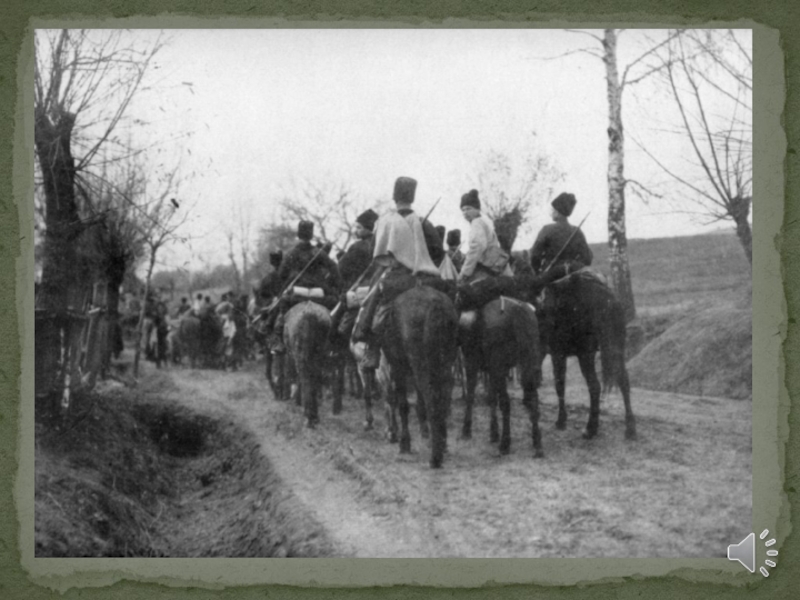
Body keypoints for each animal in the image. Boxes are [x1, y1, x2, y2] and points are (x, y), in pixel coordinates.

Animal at [378, 284, 458, 468]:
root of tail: (435, 304)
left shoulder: (398, 367)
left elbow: (403, 405)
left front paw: (404, 444)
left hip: (420, 363)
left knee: (431, 398)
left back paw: (435, 458)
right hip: (444, 363)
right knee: (444, 397)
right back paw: (442, 444)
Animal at [459, 296, 543, 457]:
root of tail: (520, 309)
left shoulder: (472, 362)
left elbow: (471, 395)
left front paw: (467, 429)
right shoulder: (492, 370)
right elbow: (492, 397)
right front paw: (494, 432)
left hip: (498, 365)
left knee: (506, 402)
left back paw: (505, 443)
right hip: (529, 360)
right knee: (533, 398)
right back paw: (537, 444)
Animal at [538, 270, 636, 440]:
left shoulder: (557, 354)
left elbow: (559, 385)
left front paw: (561, 420)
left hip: (585, 355)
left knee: (595, 386)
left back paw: (591, 428)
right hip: (615, 349)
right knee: (623, 380)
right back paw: (630, 428)